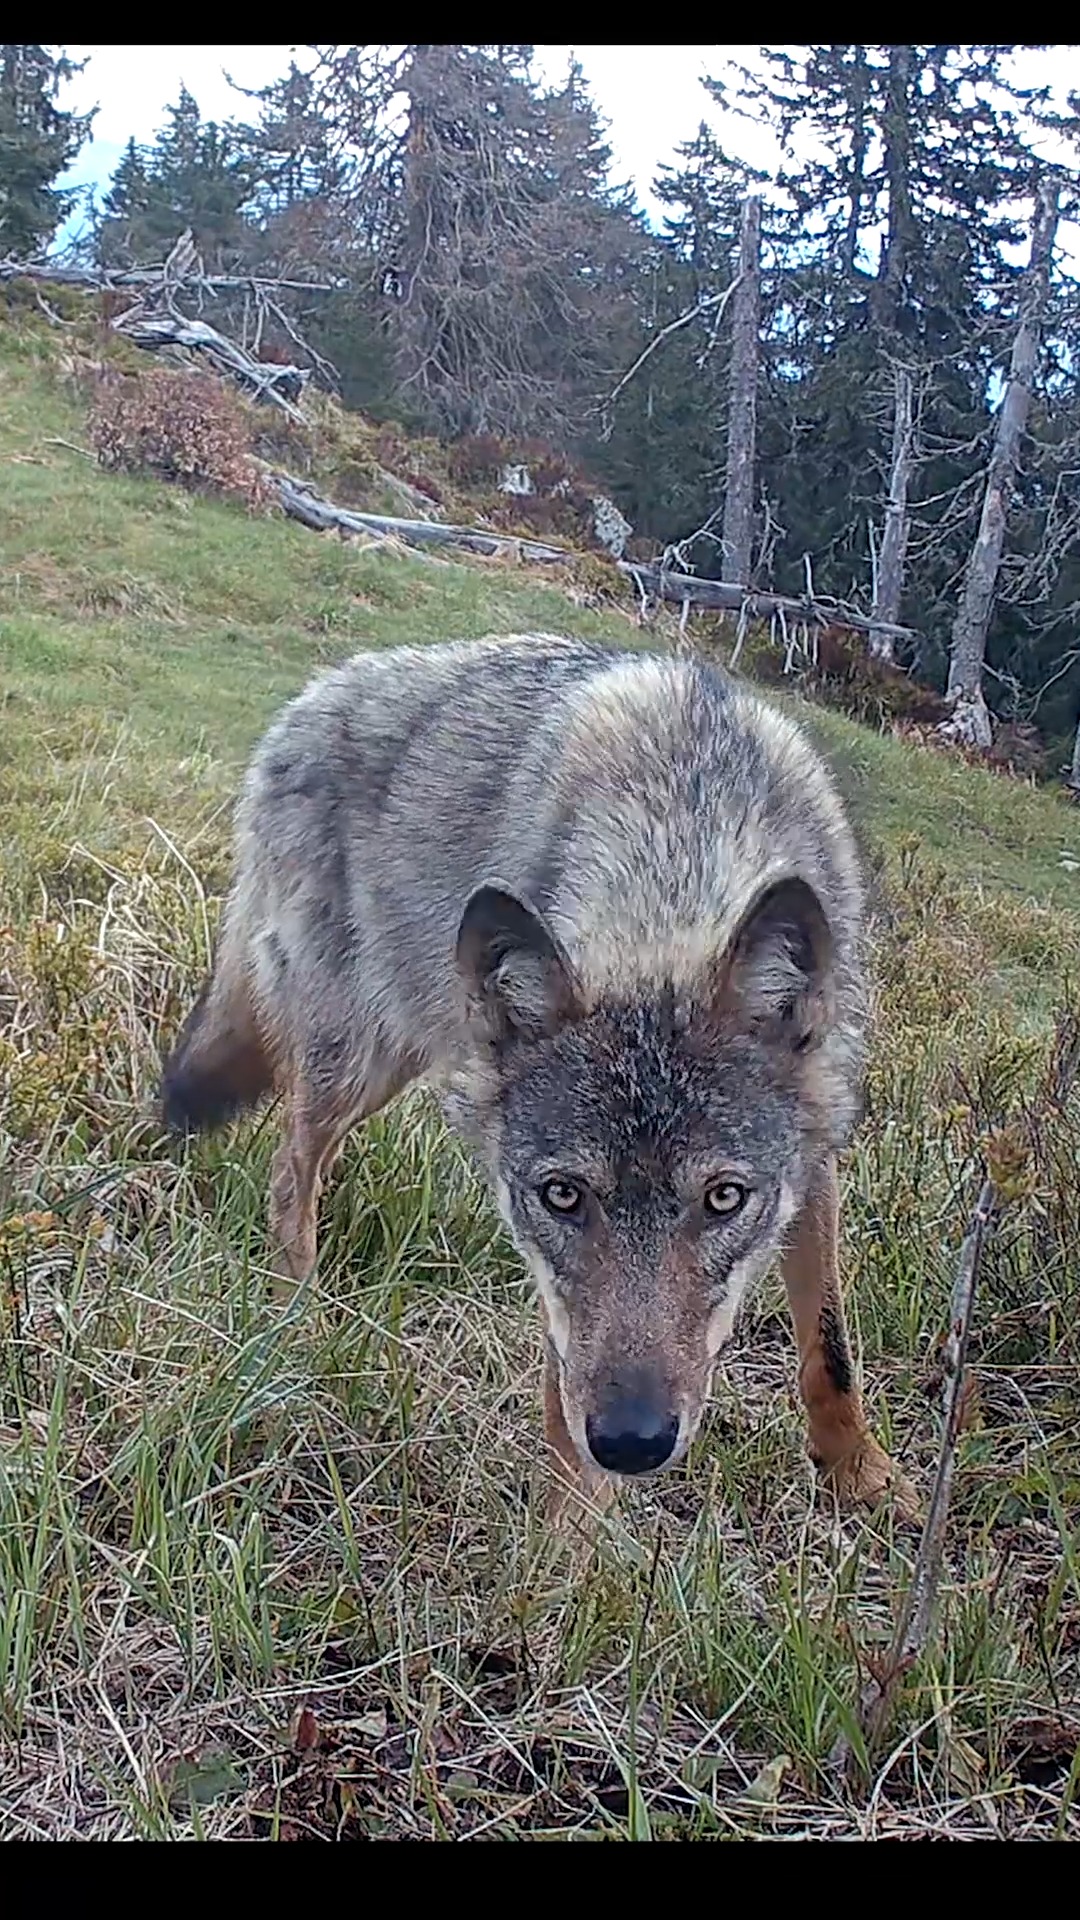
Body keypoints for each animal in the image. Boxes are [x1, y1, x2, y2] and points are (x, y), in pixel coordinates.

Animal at [161, 633, 917, 1524]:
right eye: (563, 1196)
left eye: (724, 1198)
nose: (631, 1443)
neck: (679, 850)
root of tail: (314, 694)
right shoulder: (549, 1262)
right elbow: (566, 1397)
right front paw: (570, 1545)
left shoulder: (814, 1156)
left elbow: (829, 1340)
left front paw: (862, 1476)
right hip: (362, 1055)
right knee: (290, 1170)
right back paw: (297, 1323)